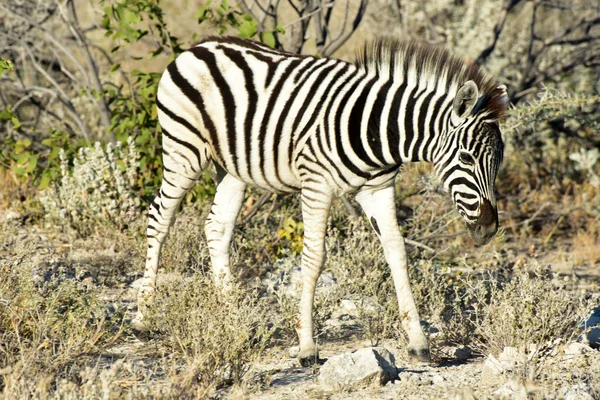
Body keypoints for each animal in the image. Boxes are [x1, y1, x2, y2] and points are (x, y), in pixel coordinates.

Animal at [134, 36, 508, 368]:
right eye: (466, 157)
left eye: (499, 161)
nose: (488, 229)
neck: (378, 131)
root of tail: (199, 46)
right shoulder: (316, 184)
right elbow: (314, 259)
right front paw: (307, 348)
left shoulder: (378, 188)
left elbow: (397, 252)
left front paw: (418, 342)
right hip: (184, 150)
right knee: (159, 219)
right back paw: (143, 318)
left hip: (232, 168)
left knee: (217, 228)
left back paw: (232, 316)